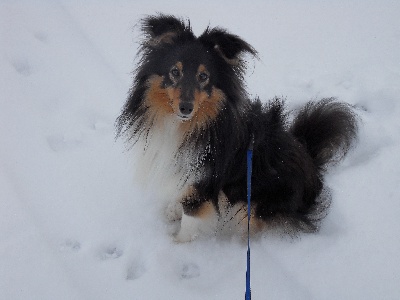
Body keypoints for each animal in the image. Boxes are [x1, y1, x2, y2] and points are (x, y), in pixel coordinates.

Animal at [115, 15, 356, 243]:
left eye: (203, 76)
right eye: (175, 71)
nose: (186, 107)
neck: (183, 126)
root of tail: (310, 162)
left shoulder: (206, 181)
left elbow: (191, 218)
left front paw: (178, 243)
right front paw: (173, 209)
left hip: (256, 201)